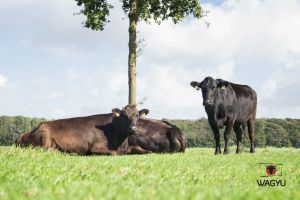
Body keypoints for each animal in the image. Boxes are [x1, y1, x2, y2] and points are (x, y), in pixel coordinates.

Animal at [14, 105, 149, 155]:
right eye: (124, 116)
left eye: (137, 115)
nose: (133, 129)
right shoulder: (95, 147)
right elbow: (113, 153)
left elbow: (138, 148)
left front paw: (148, 151)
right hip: (45, 135)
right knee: (45, 150)